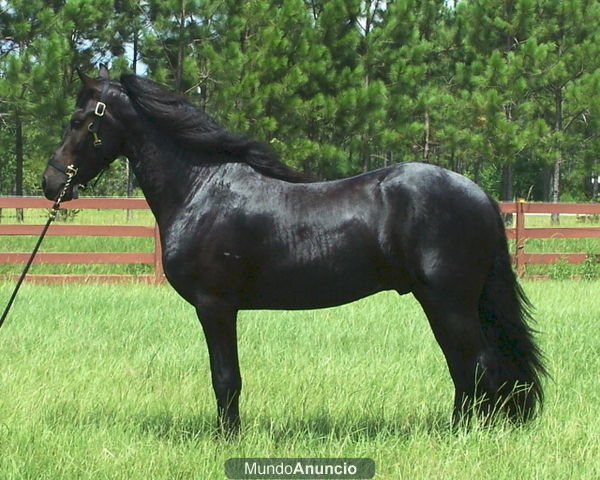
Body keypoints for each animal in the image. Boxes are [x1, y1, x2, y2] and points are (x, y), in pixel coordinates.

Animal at [44, 65, 548, 436]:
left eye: (78, 121)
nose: (51, 182)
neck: (201, 188)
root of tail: (479, 195)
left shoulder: (215, 306)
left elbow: (225, 379)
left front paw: (228, 439)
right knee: (466, 367)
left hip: (448, 301)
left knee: (476, 365)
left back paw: (464, 434)